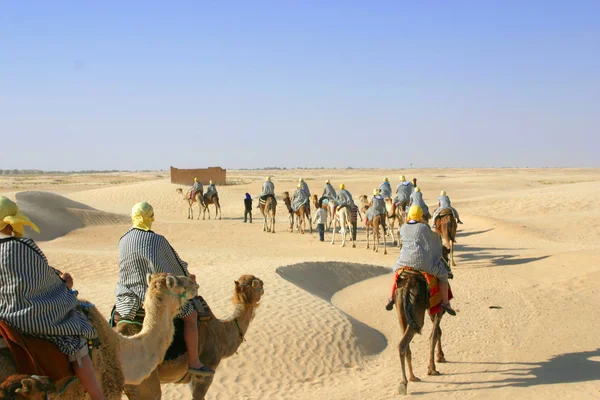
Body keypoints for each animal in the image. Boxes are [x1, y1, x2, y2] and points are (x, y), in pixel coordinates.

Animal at [394, 248, 450, 396]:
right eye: (447, 258)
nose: (449, 271)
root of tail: (407, 286)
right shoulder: (438, 309)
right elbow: (434, 335)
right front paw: (432, 368)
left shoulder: (432, 310)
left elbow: (438, 333)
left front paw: (440, 357)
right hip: (417, 316)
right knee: (404, 343)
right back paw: (404, 383)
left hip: (401, 313)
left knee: (405, 345)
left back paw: (411, 377)